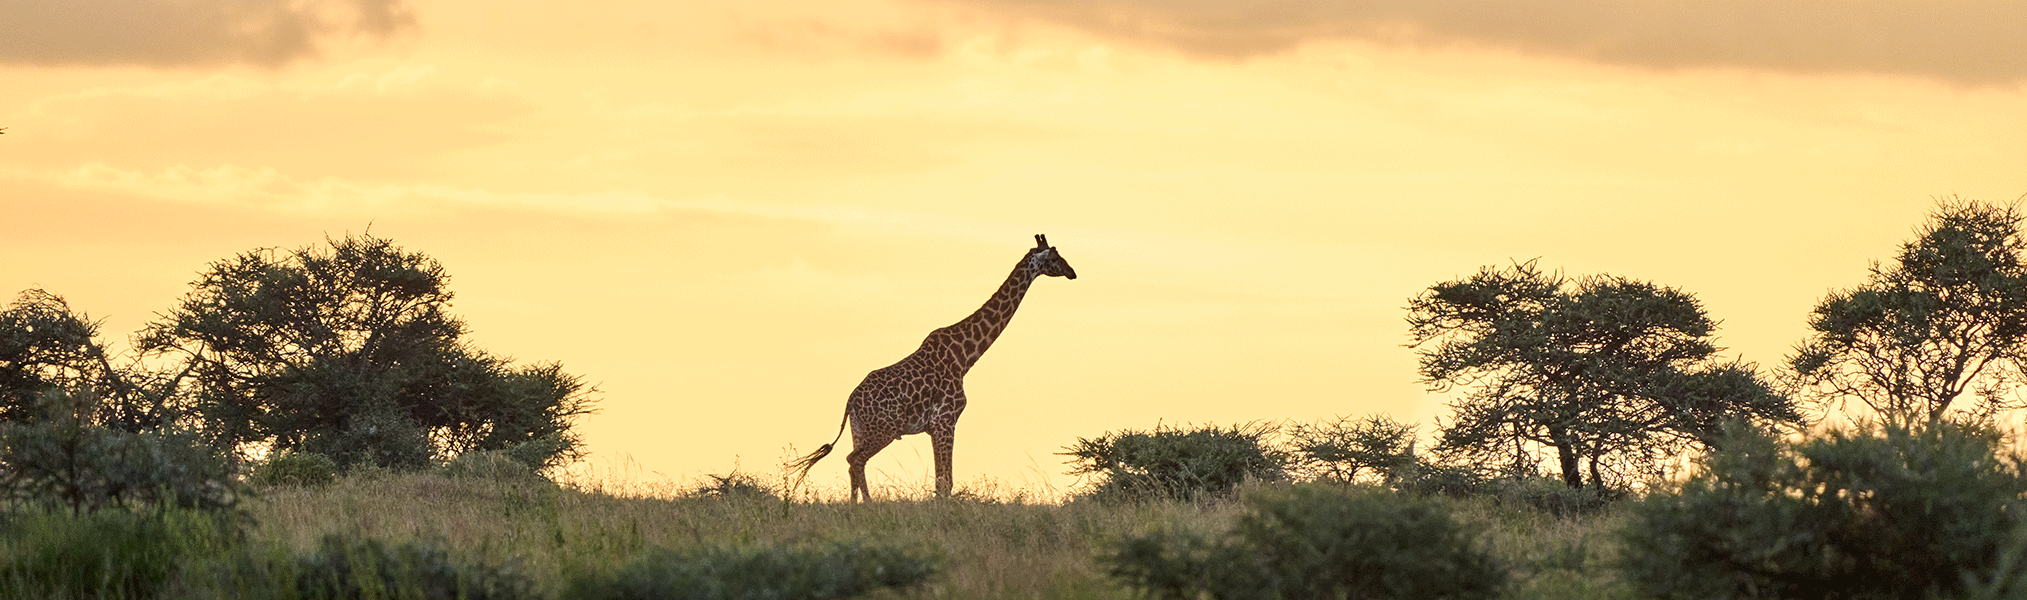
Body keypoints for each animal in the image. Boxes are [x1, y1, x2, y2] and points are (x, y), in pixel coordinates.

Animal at [786, 234, 1078, 500]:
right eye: (1055, 257)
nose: (1072, 272)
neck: (964, 357)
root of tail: (850, 402)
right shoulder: (944, 421)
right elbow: (944, 482)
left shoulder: (937, 425)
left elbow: (943, 481)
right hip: (883, 430)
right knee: (855, 460)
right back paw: (868, 506)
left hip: (859, 430)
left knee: (854, 464)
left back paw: (855, 506)